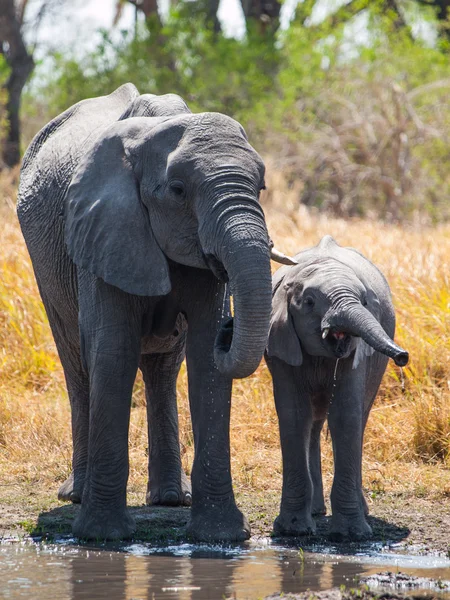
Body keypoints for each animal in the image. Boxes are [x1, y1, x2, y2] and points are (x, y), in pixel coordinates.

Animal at [18, 83, 292, 540]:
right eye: (178, 190)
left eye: (262, 186)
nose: (231, 326)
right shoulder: (104, 227)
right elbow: (113, 351)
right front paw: (102, 536)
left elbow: (204, 360)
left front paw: (220, 536)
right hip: (47, 264)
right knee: (77, 363)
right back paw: (76, 495)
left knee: (163, 369)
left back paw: (169, 499)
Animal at [264, 237, 408, 540]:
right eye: (309, 302)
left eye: (363, 302)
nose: (403, 357)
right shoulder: (280, 340)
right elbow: (294, 415)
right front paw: (293, 530)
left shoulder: (357, 353)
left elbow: (345, 416)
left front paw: (352, 534)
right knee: (313, 421)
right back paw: (316, 511)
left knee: (357, 418)